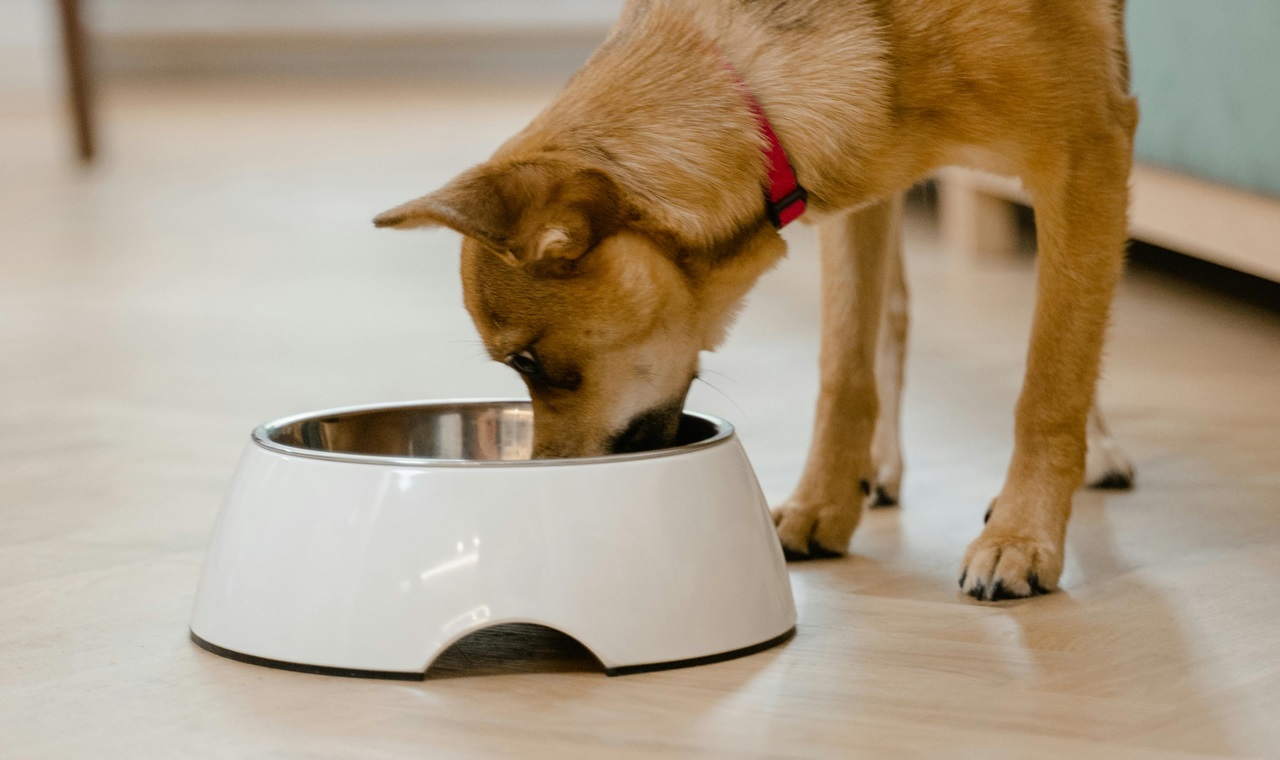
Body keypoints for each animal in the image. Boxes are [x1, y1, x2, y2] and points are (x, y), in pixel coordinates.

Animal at [373, 0, 1141, 601]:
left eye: (527, 360)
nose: (545, 490)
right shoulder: (864, 173)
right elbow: (845, 366)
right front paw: (823, 504)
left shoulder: (1086, 155)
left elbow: (1053, 374)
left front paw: (1023, 533)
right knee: (894, 312)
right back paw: (882, 466)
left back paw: (1094, 452)